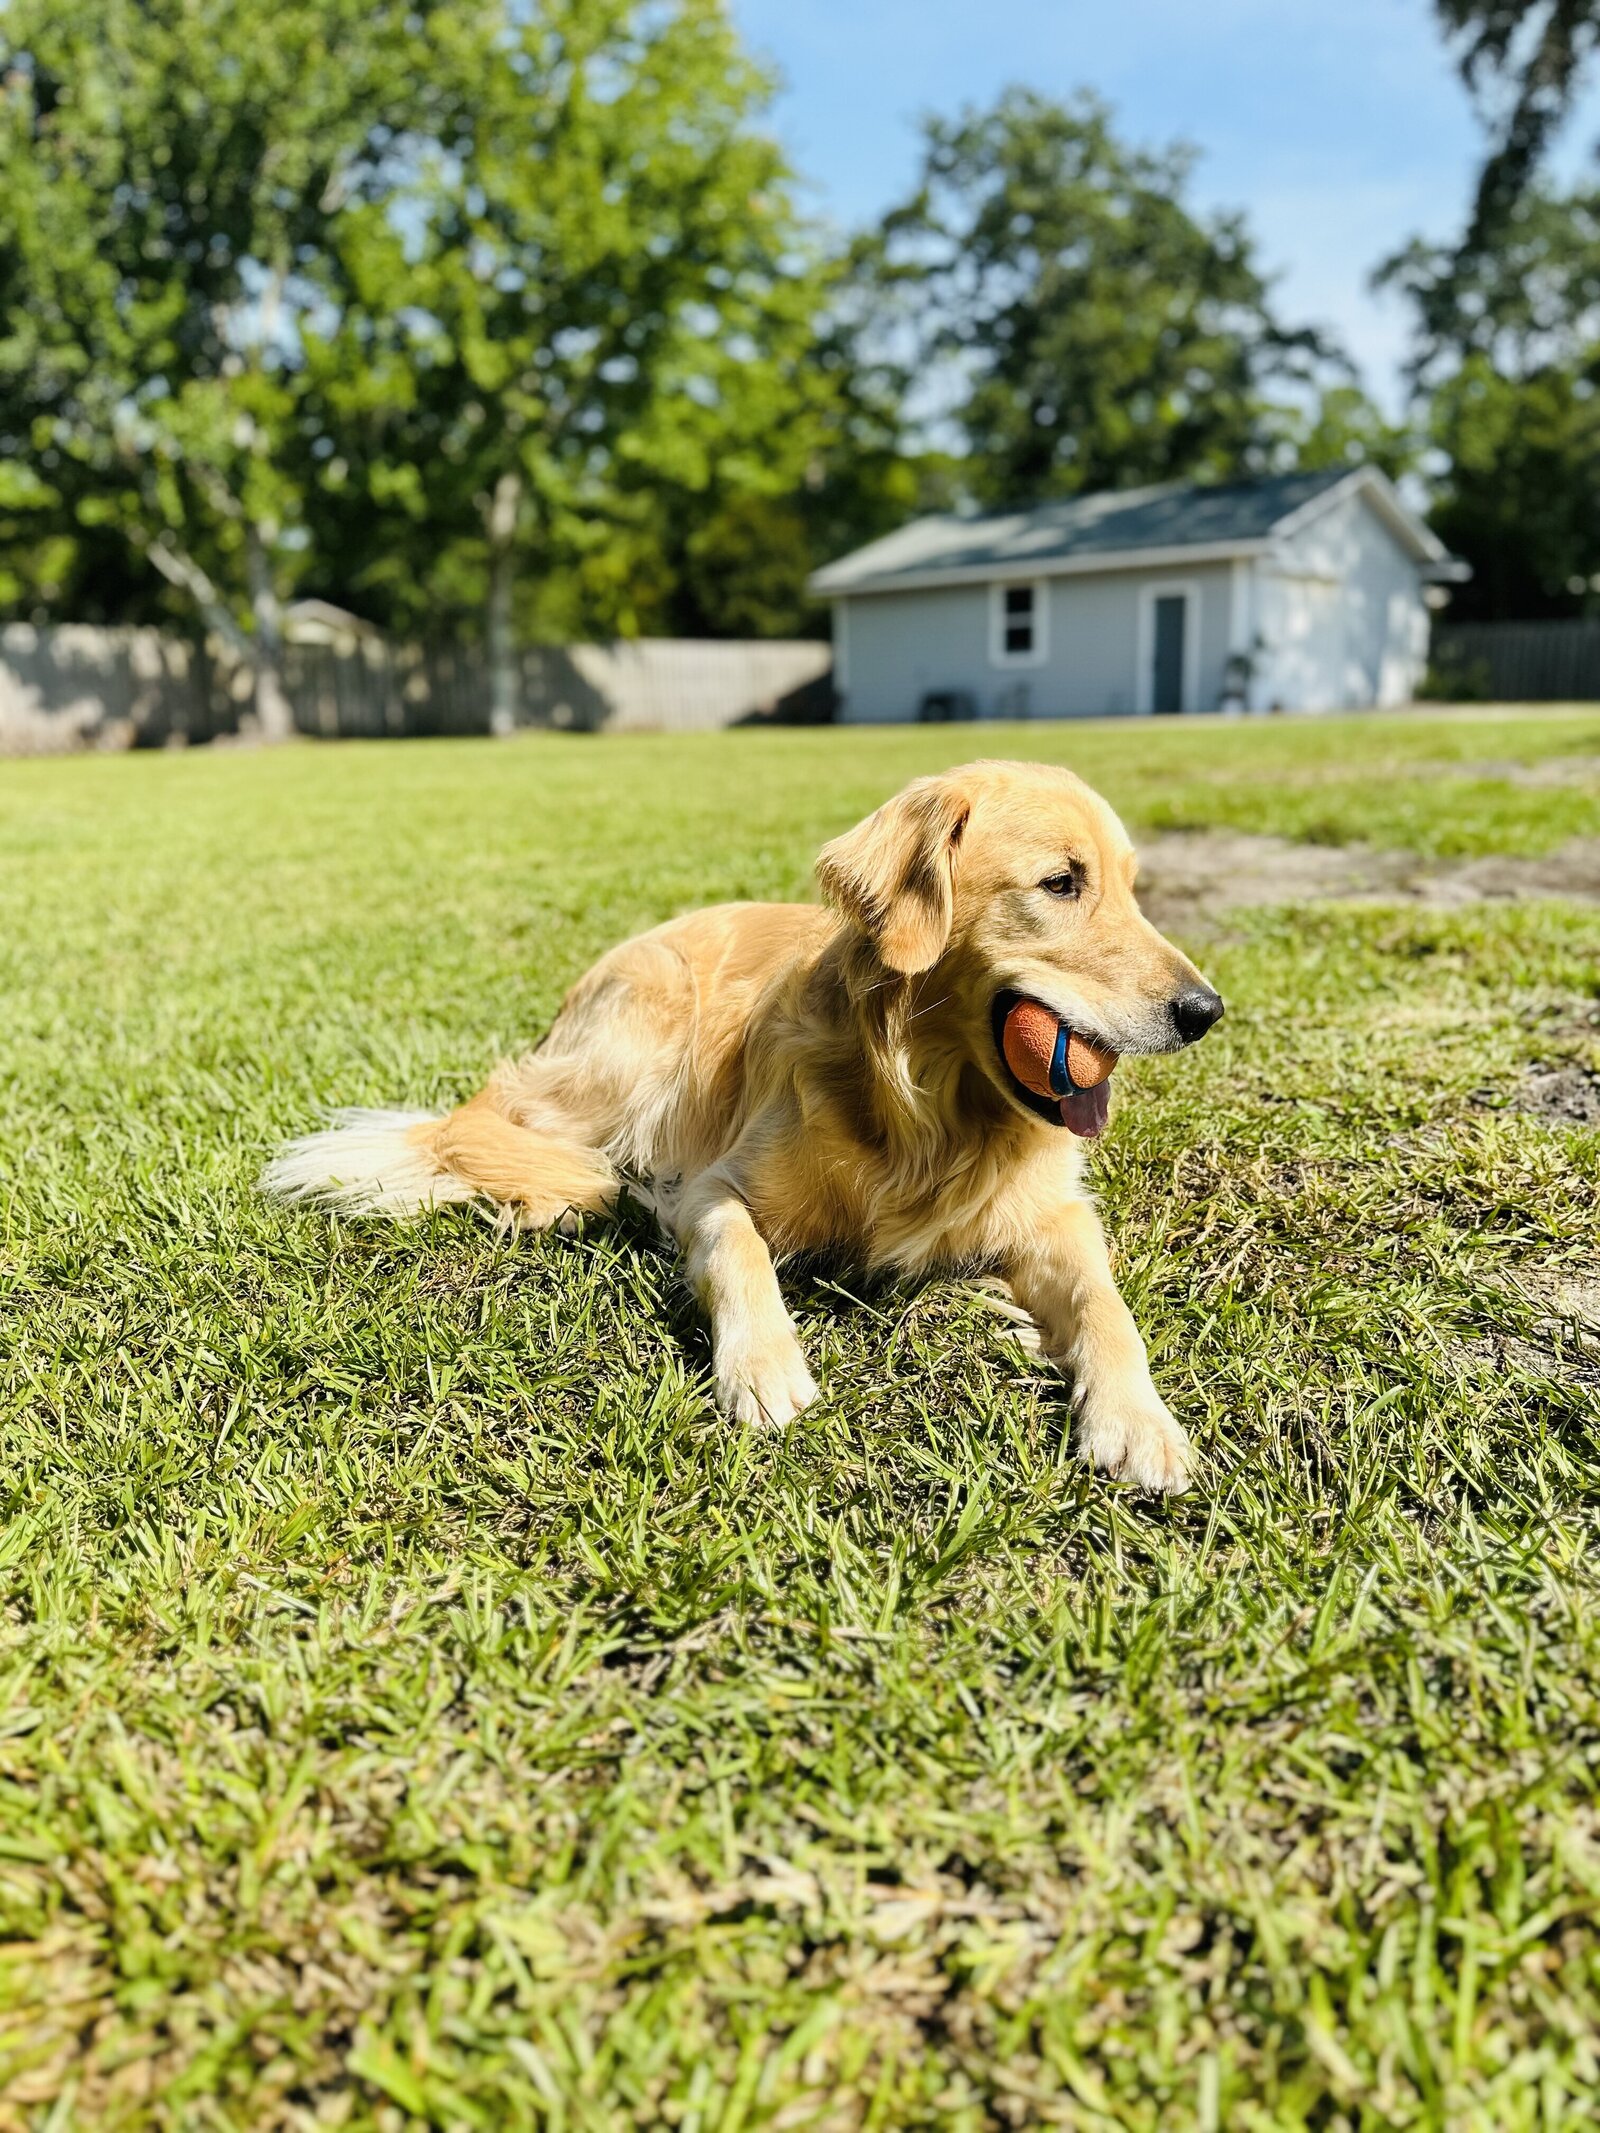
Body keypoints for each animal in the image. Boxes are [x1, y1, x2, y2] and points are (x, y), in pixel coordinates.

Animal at [273, 763, 1228, 1484]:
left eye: (1134, 888)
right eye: (1061, 883)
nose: (1205, 1010)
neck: (926, 1109)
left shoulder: (1058, 1213)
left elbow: (1107, 1305)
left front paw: (1140, 1420)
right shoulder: (716, 1184)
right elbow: (741, 1251)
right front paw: (766, 1366)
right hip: (649, 1045)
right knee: (496, 1121)